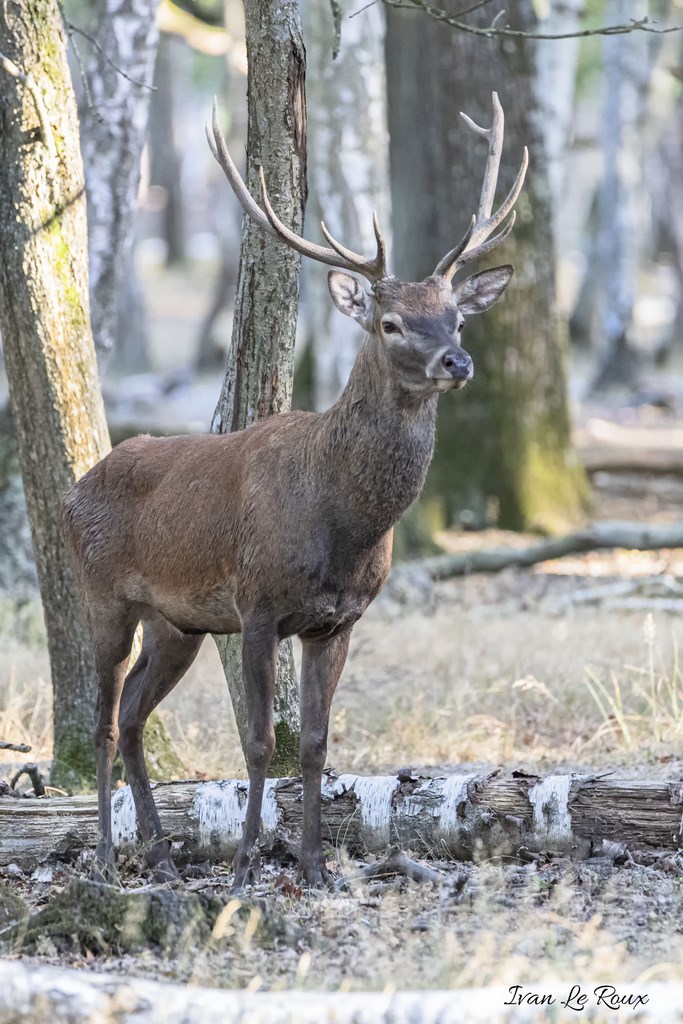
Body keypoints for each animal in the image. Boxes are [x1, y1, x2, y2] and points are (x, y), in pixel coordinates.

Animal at [62, 91, 527, 889]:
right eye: (390, 322)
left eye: (457, 317)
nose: (457, 360)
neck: (343, 524)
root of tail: (74, 488)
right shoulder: (256, 605)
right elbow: (255, 742)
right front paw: (248, 865)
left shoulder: (336, 621)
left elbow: (313, 743)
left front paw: (312, 865)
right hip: (104, 596)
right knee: (100, 718)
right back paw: (105, 856)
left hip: (177, 622)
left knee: (132, 715)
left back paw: (161, 854)